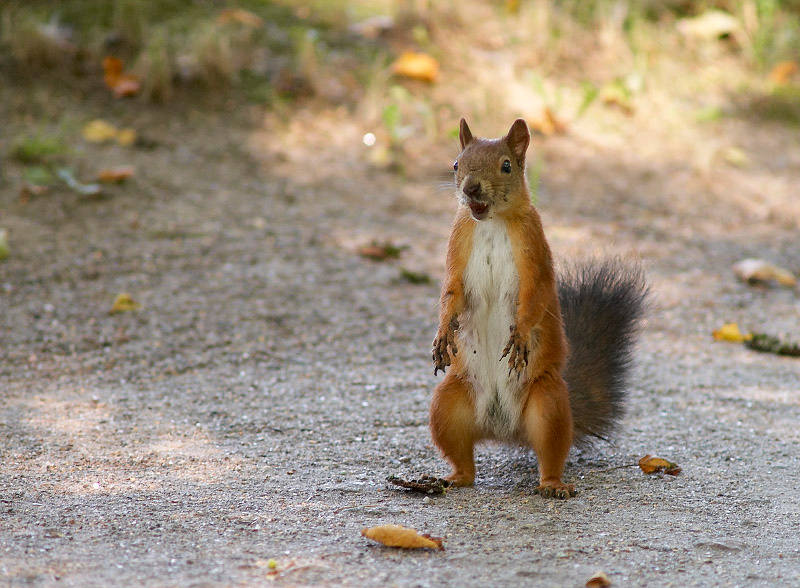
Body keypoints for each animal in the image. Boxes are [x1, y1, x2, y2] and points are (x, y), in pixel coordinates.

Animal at [429, 118, 647, 498]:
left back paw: (553, 485)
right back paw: (455, 478)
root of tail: (506, 431)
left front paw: (519, 336)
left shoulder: (534, 251)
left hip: (548, 405)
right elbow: (451, 294)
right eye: (456, 164)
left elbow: (534, 297)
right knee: (464, 461)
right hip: (447, 405)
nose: (471, 189)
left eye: (506, 166)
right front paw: (443, 333)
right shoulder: (457, 247)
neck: (491, 223)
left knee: (551, 452)